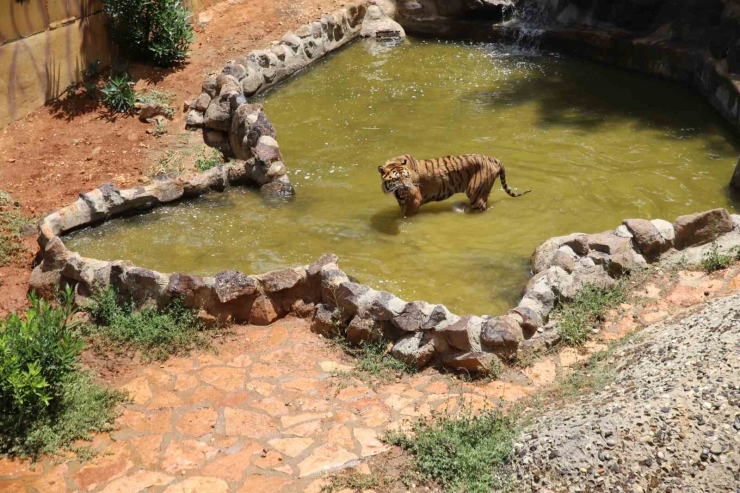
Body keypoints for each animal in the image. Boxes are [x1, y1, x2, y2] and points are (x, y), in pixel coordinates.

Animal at [378, 153, 528, 216]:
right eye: (397, 179)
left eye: (407, 176)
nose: (408, 187)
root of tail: (493, 158)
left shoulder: (413, 201)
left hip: (475, 194)